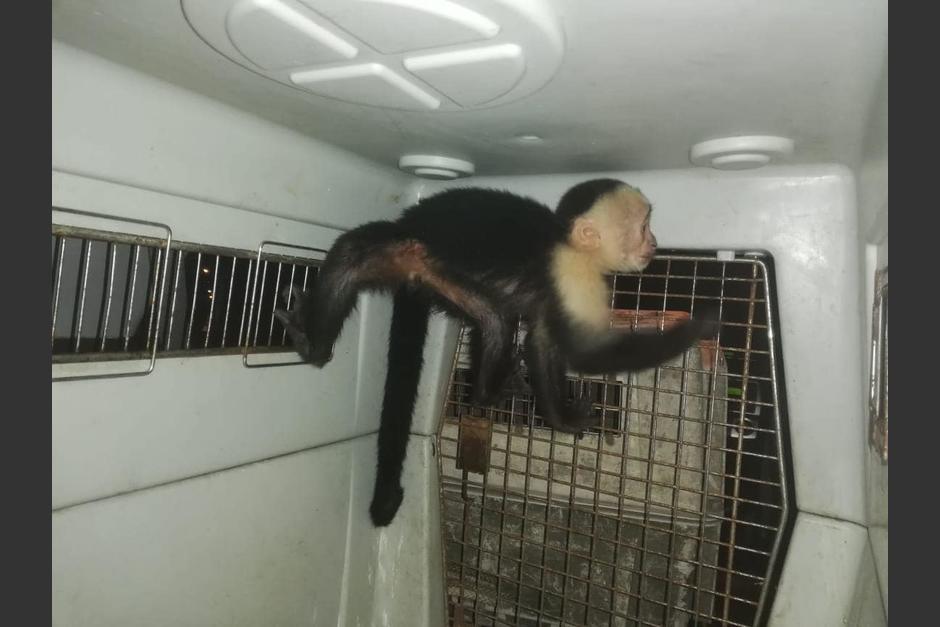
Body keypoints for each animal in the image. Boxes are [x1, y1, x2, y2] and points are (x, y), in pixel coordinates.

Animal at [275, 179, 718, 526]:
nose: (654, 242)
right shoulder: (575, 274)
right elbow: (585, 353)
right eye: (643, 226)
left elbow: (543, 343)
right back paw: (314, 345)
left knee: (495, 321)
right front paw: (698, 327)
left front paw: (563, 419)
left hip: (440, 276)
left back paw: (488, 392)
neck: (568, 244)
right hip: (402, 248)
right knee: (351, 252)